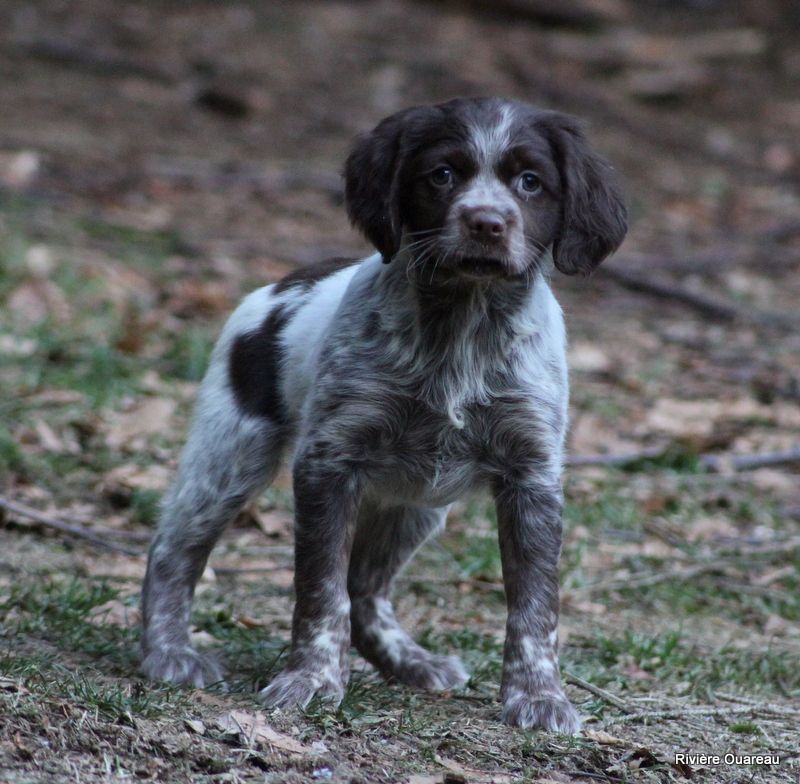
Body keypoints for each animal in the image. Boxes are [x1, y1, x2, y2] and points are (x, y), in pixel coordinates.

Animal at [141, 98, 628, 736]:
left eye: (530, 182)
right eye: (442, 175)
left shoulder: (533, 477)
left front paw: (539, 696)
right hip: (229, 455)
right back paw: (168, 651)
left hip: (416, 505)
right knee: (175, 549)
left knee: (366, 587)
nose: (486, 223)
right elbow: (320, 589)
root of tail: (281, 283)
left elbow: (534, 605)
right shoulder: (328, 462)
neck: (461, 323)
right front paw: (312, 680)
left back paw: (410, 662)